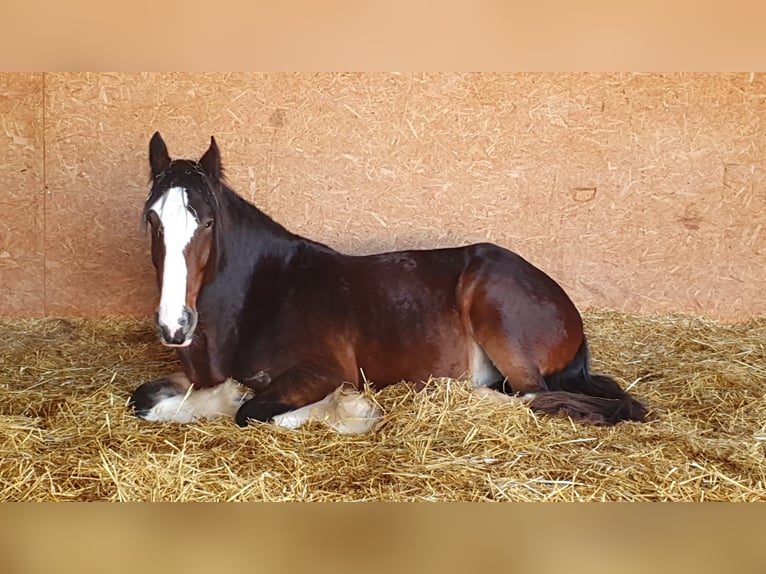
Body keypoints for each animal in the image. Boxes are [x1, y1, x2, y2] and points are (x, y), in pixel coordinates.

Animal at [129, 133, 647, 432]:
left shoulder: (321, 373)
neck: (260, 296)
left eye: (208, 222)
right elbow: (143, 399)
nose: (174, 326)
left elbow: (252, 412)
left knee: (533, 396)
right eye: (152, 219)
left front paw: (348, 411)